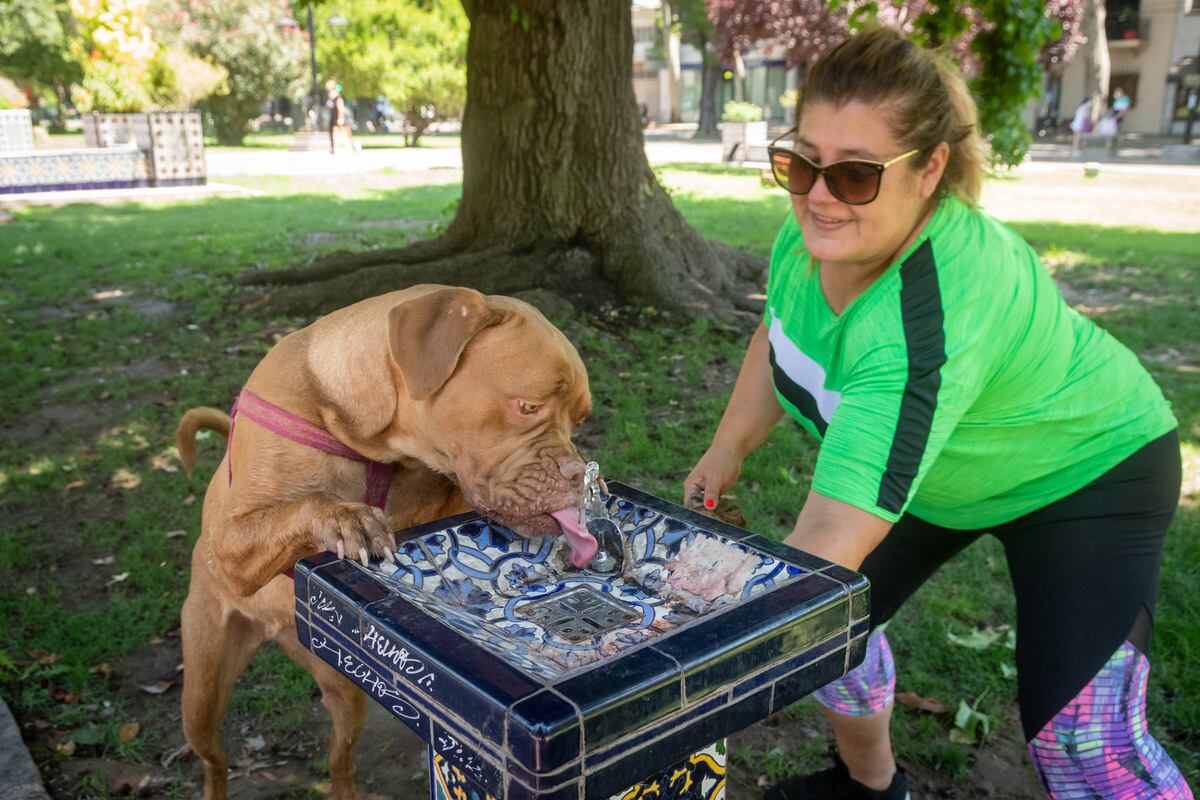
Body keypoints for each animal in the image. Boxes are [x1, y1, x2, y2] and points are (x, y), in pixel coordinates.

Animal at [175, 284, 595, 796]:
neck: (361, 434)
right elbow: (304, 503)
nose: (578, 473)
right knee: (214, 761)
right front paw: (343, 515)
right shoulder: (229, 545)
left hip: (344, 685)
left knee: (339, 760)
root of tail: (275, 630)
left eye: (580, 420)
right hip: (201, 695)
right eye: (528, 407)